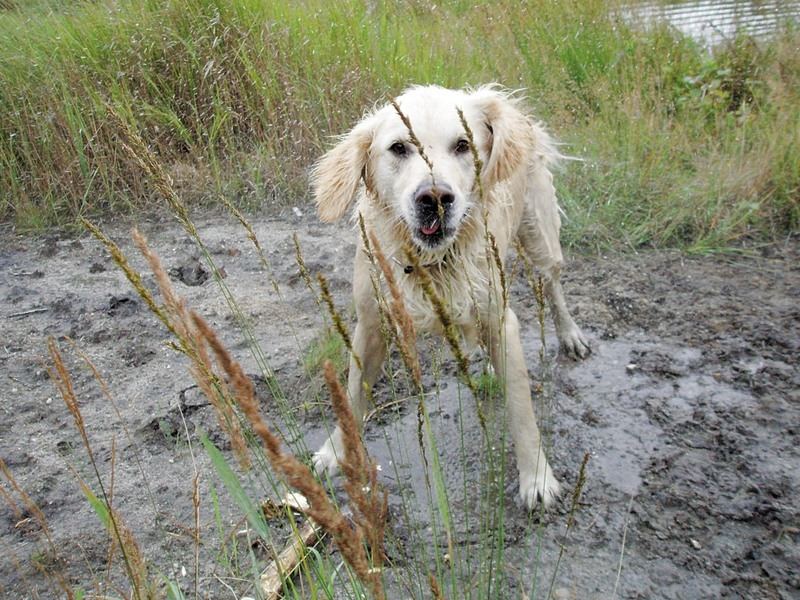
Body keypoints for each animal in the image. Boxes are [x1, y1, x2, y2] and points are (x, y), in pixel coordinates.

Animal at [310, 84, 592, 506]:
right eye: (398, 148)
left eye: (463, 145)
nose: (435, 198)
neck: (432, 263)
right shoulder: (371, 324)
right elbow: (353, 394)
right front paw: (335, 450)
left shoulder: (500, 317)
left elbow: (522, 410)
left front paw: (537, 477)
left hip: (540, 237)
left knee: (554, 284)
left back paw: (570, 334)